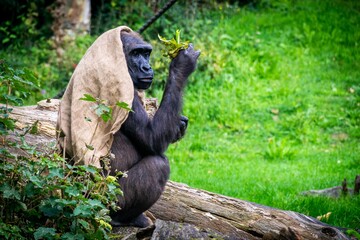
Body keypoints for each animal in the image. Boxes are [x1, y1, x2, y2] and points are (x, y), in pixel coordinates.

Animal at [109, 31, 200, 228]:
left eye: (146, 53)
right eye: (135, 53)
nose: (146, 67)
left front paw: (179, 124)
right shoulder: (125, 91)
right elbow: (151, 139)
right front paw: (182, 64)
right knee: (158, 165)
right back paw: (123, 219)